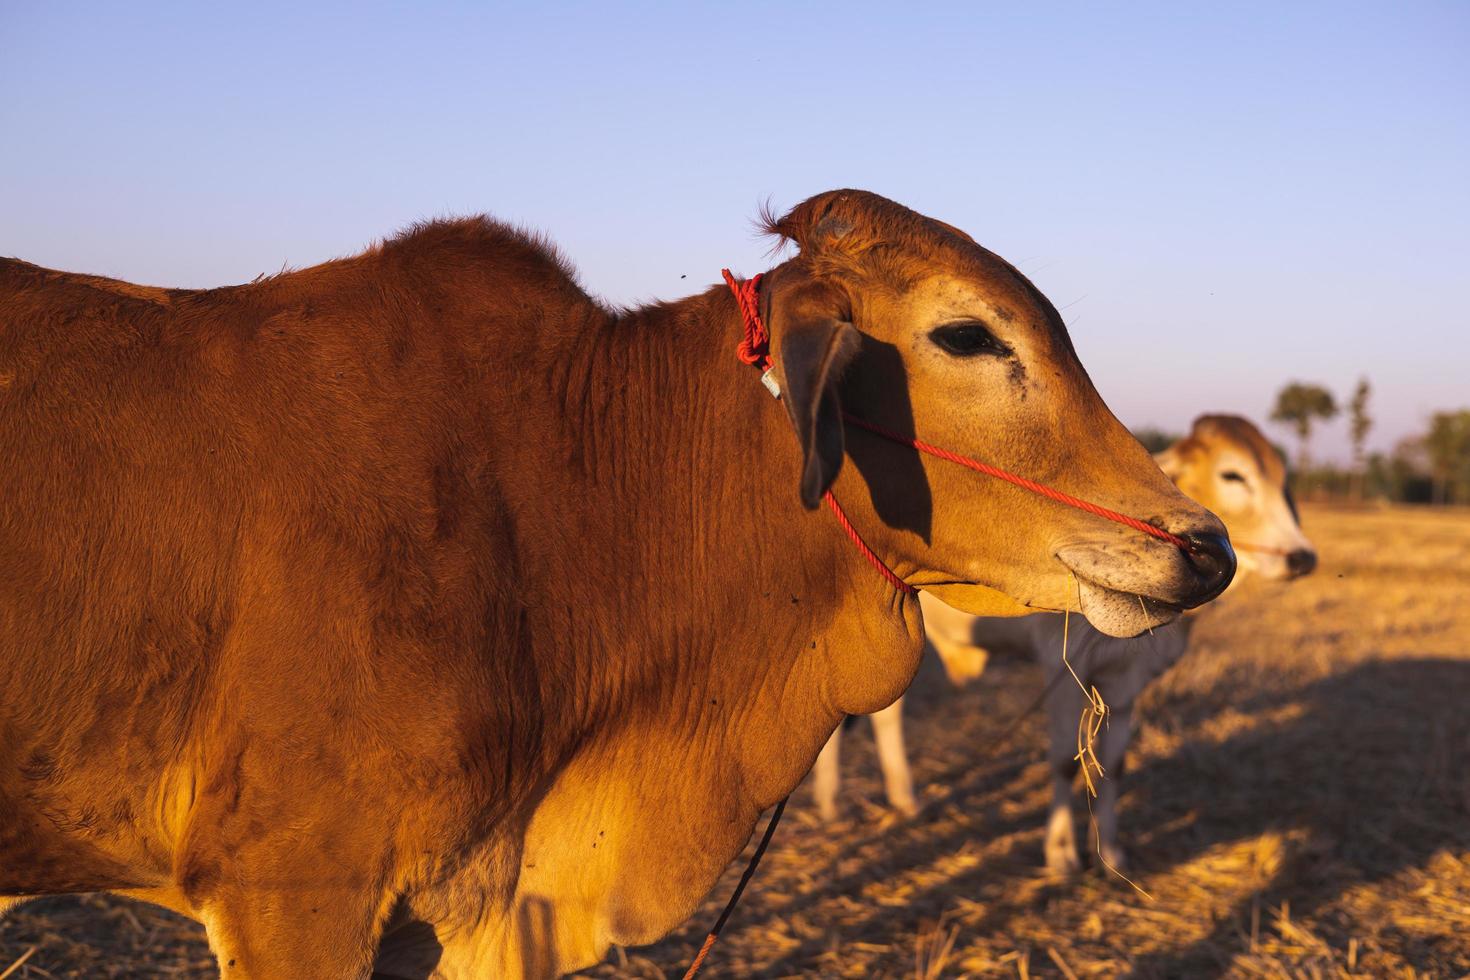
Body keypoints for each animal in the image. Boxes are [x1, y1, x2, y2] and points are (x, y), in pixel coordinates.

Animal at [817, 417, 1323, 869]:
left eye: (1281, 478)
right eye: (1232, 474)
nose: (1302, 556)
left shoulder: (1126, 680)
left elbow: (1114, 765)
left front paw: (1111, 853)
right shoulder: (1062, 671)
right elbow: (1063, 761)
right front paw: (1060, 855)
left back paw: (901, 798)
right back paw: (834, 803)